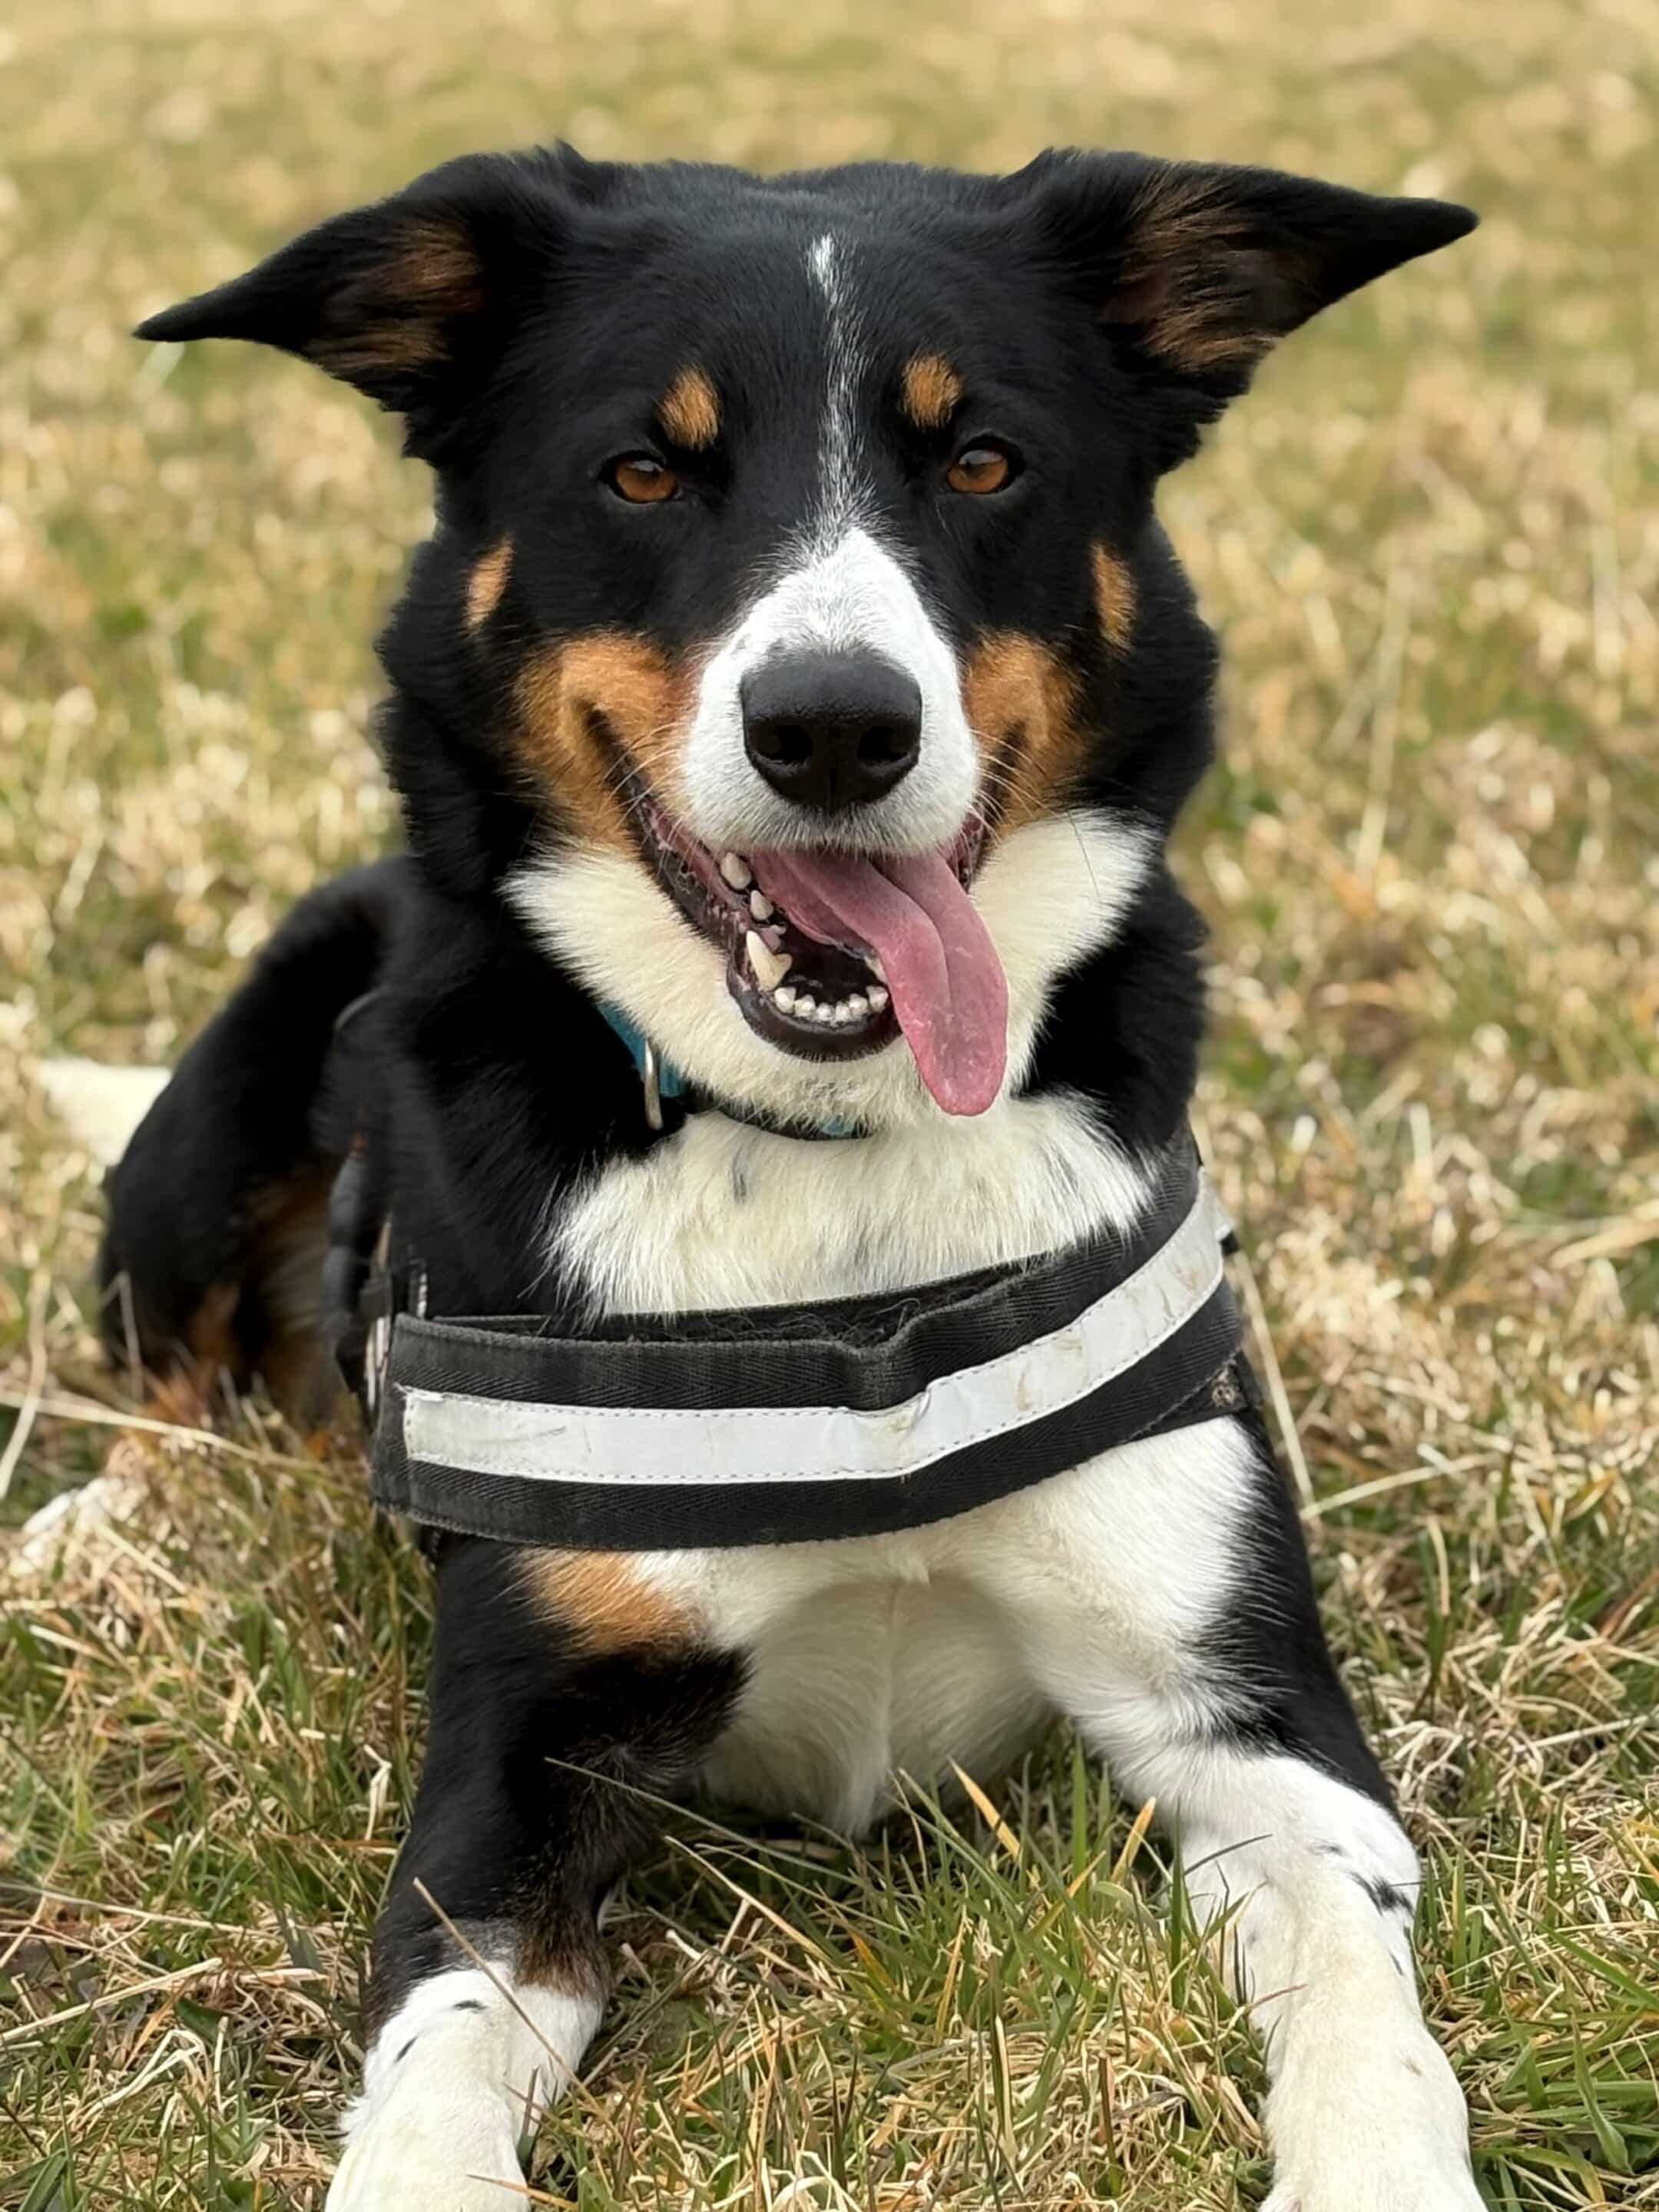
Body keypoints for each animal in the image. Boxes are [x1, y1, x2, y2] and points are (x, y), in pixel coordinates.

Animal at [104, 145, 1482, 2210]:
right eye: (641, 471)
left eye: (981, 460)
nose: (834, 723)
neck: (824, 1153)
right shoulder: (513, 1786)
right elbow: (430, 2070)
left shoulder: (1251, 1716)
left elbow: (1364, 2007)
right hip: (219, 1125)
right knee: (149, 1382)